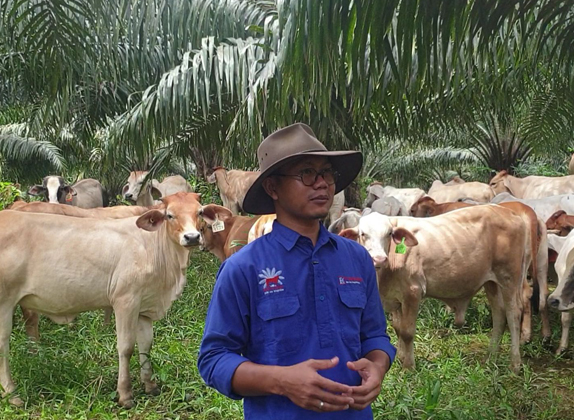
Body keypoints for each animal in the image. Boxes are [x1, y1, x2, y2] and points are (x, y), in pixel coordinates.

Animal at [340, 207, 532, 370]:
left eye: (389, 233)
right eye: (363, 234)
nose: (379, 259)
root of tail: (511, 213)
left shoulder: (412, 293)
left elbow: (407, 332)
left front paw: (408, 367)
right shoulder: (396, 298)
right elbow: (398, 328)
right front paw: (401, 359)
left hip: (509, 277)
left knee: (513, 314)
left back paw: (515, 364)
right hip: (491, 282)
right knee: (499, 314)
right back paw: (490, 357)